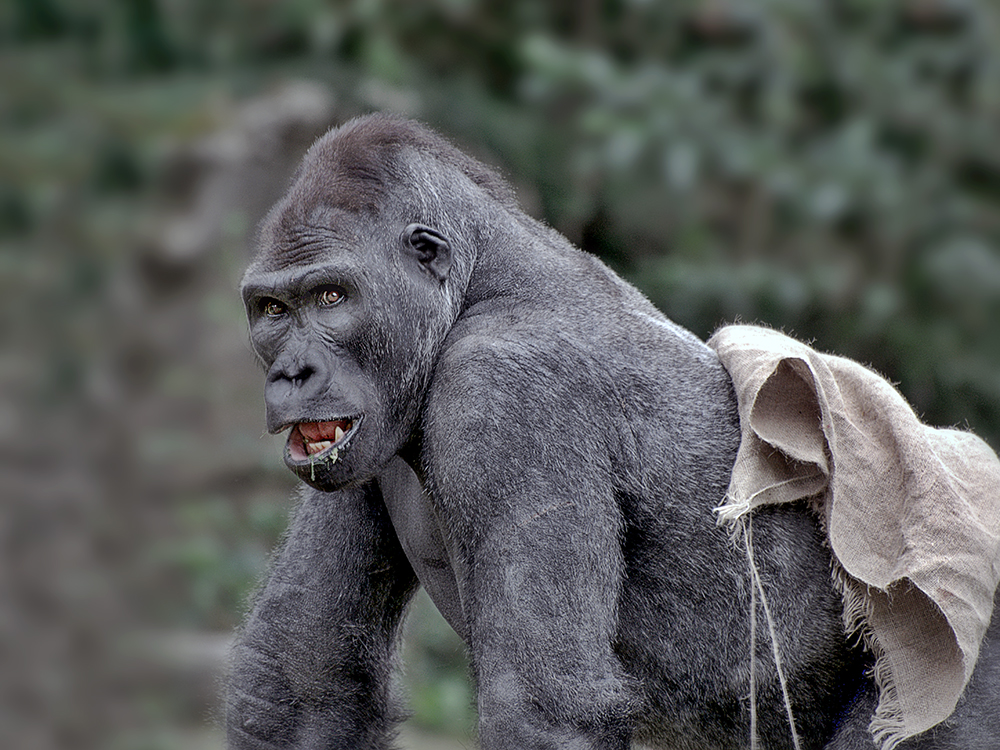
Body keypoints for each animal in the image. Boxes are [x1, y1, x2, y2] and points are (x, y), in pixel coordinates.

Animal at [229, 113, 1000, 750]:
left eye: (332, 297)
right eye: (272, 310)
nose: (292, 373)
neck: (480, 283)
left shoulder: (504, 393)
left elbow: (544, 707)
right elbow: (302, 684)